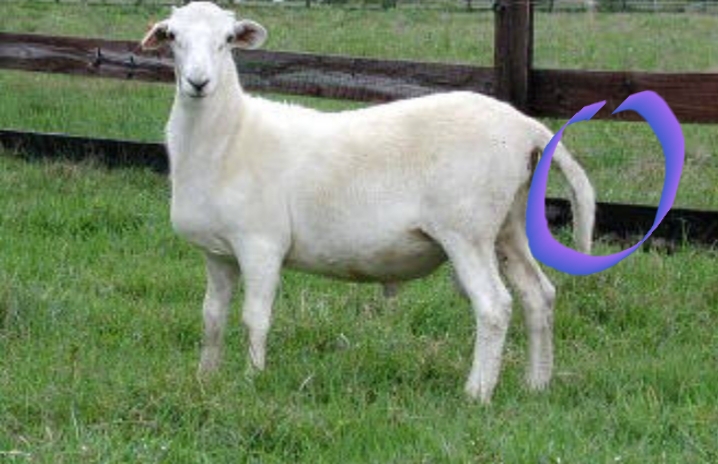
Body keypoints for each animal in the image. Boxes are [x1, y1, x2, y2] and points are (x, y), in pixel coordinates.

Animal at [140, 1, 596, 404]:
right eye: (173, 37)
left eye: (228, 40)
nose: (198, 83)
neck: (230, 136)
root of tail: (526, 126)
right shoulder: (218, 253)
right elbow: (212, 318)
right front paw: (206, 379)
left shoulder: (261, 244)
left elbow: (255, 319)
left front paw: (252, 382)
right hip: (507, 225)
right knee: (538, 295)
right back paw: (537, 384)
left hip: (467, 229)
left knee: (494, 306)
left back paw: (477, 393)